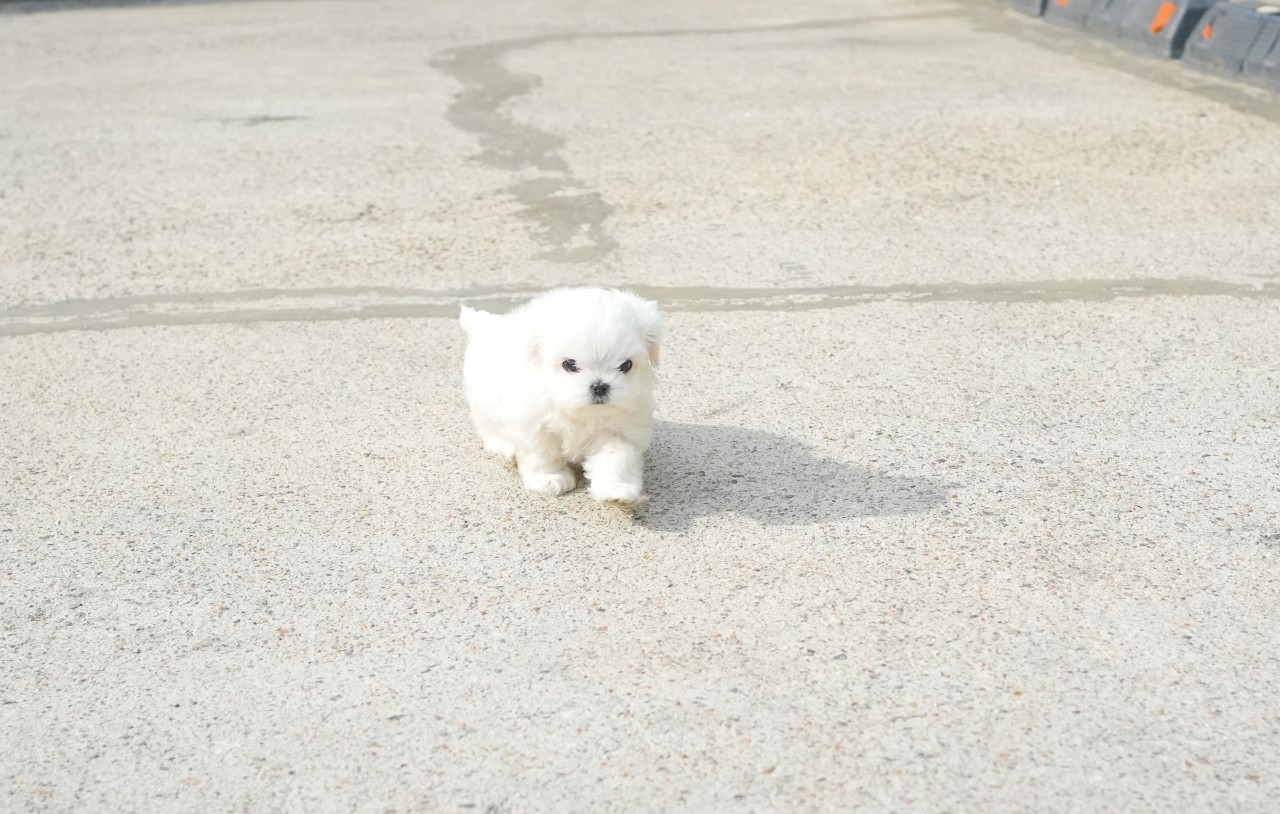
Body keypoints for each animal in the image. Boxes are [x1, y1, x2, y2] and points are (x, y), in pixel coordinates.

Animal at [459, 287, 664, 505]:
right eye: (570, 365)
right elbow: (543, 453)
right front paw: (550, 479)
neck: (581, 411)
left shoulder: (619, 430)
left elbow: (616, 457)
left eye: (626, 365)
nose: (599, 386)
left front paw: (616, 490)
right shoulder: (534, 423)